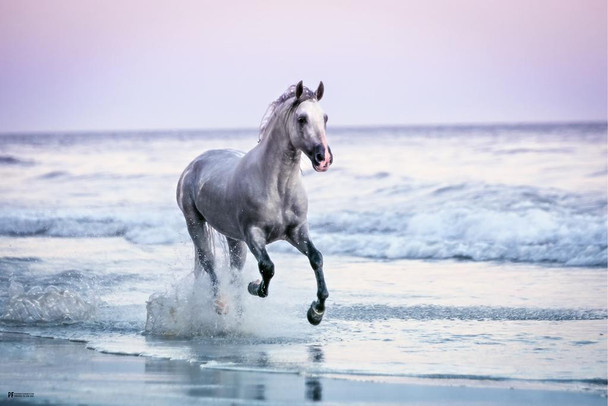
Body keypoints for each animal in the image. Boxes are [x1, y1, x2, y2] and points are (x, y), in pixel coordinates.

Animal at [178, 81, 332, 326]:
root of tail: (194, 164)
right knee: (208, 262)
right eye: (301, 118)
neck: (277, 187)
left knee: (234, 272)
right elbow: (267, 268)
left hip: (233, 238)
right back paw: (220, 304)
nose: (323, 158)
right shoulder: (253, 235)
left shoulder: (297, 231)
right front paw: (255, 287)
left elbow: (316, 258)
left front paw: (316, 312)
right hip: (195, 223)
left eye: (324, 117)